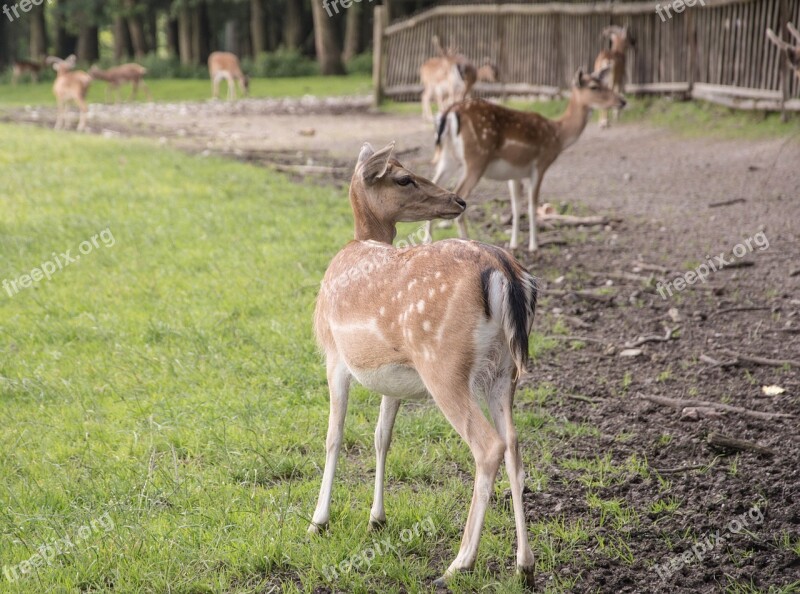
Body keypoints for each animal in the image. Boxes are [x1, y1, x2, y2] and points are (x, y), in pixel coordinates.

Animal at [310, 141, 540, 584]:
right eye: (404, 178)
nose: (458, 199)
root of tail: (503, 272)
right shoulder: (394, 378)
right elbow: (381, 436)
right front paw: (376, 518)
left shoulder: (333, 355)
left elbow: (334, 436)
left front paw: (318, 521)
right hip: (504, 372)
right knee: (515, 449)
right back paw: (524, 565)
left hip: (443, 364)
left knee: (489, 447)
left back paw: (458, 564)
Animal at [428, 67, 628, 252]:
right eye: (594, 87)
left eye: (604, 83)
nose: (622, 101)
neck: (558, 135)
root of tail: (450, 112)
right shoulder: (540, 163)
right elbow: (532, 204)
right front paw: (533, 245)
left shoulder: (514, 173)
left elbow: (516, 206)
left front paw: (514, 244)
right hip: (477, 158)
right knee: (460, 196)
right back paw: (466, 242)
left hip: (448, 158)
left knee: (434, 184)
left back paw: (427, 242)